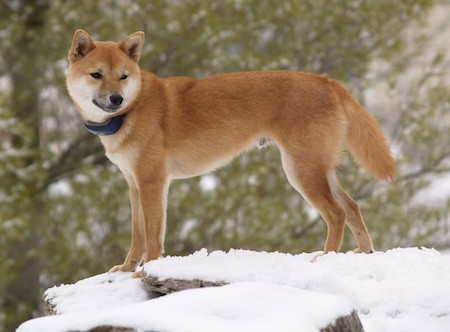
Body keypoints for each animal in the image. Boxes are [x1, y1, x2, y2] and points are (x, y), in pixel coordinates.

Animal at [66, 29, 394, 274]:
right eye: (97, 74)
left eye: (123, 76)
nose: (116, 99)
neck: (131, 112)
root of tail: (327, 81)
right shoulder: (134, 184)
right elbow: (137, 235)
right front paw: (126, 269)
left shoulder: (153, 183)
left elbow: (154, 238)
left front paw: (145, 272)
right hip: (319, 170)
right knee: (352, 207)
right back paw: (363, 251)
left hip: (301, 172)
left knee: (337, 213)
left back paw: (325, 258)